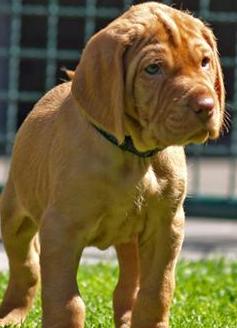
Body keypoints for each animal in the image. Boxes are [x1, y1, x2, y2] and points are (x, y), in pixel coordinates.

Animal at [0, 2, 225, 328]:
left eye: (205, 62)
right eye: (153, 69)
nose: (206, 106)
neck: (134, 154)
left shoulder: (167, 226)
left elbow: (157, 290)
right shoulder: (60, 230)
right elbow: (65, 301)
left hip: (131, 238)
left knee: (129, 283)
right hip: (14, 217)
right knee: (25, 268)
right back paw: (11, 315)